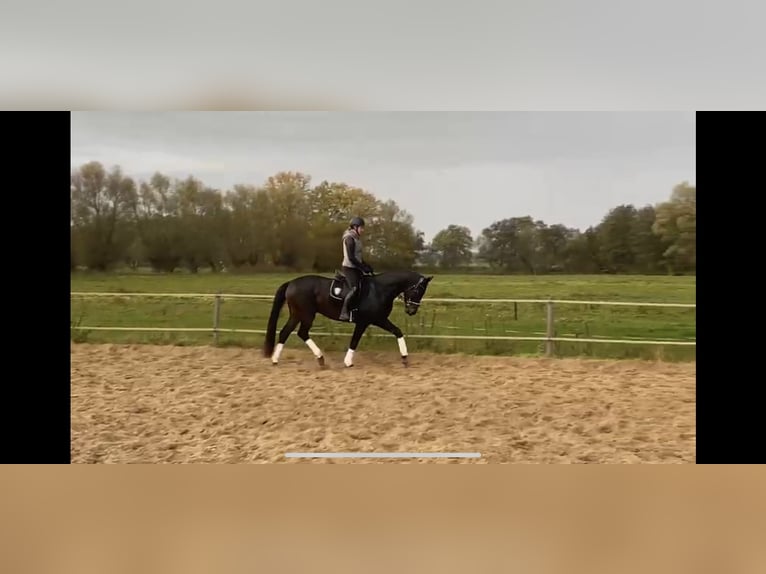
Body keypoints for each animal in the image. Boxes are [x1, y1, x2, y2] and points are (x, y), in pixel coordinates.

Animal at [262, 269, 433, 368]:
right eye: (418, 290)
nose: (411, 311)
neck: (379, 290)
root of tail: (291, 283)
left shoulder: (379, 319)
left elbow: (398, 331)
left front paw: (404, 358)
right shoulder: (365, 321)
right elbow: (355, 340)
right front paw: (348, 362)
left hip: (297, 314)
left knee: (286, 332)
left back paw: (277, 360)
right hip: (306, 314)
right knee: (301, 333)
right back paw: (319, 358)